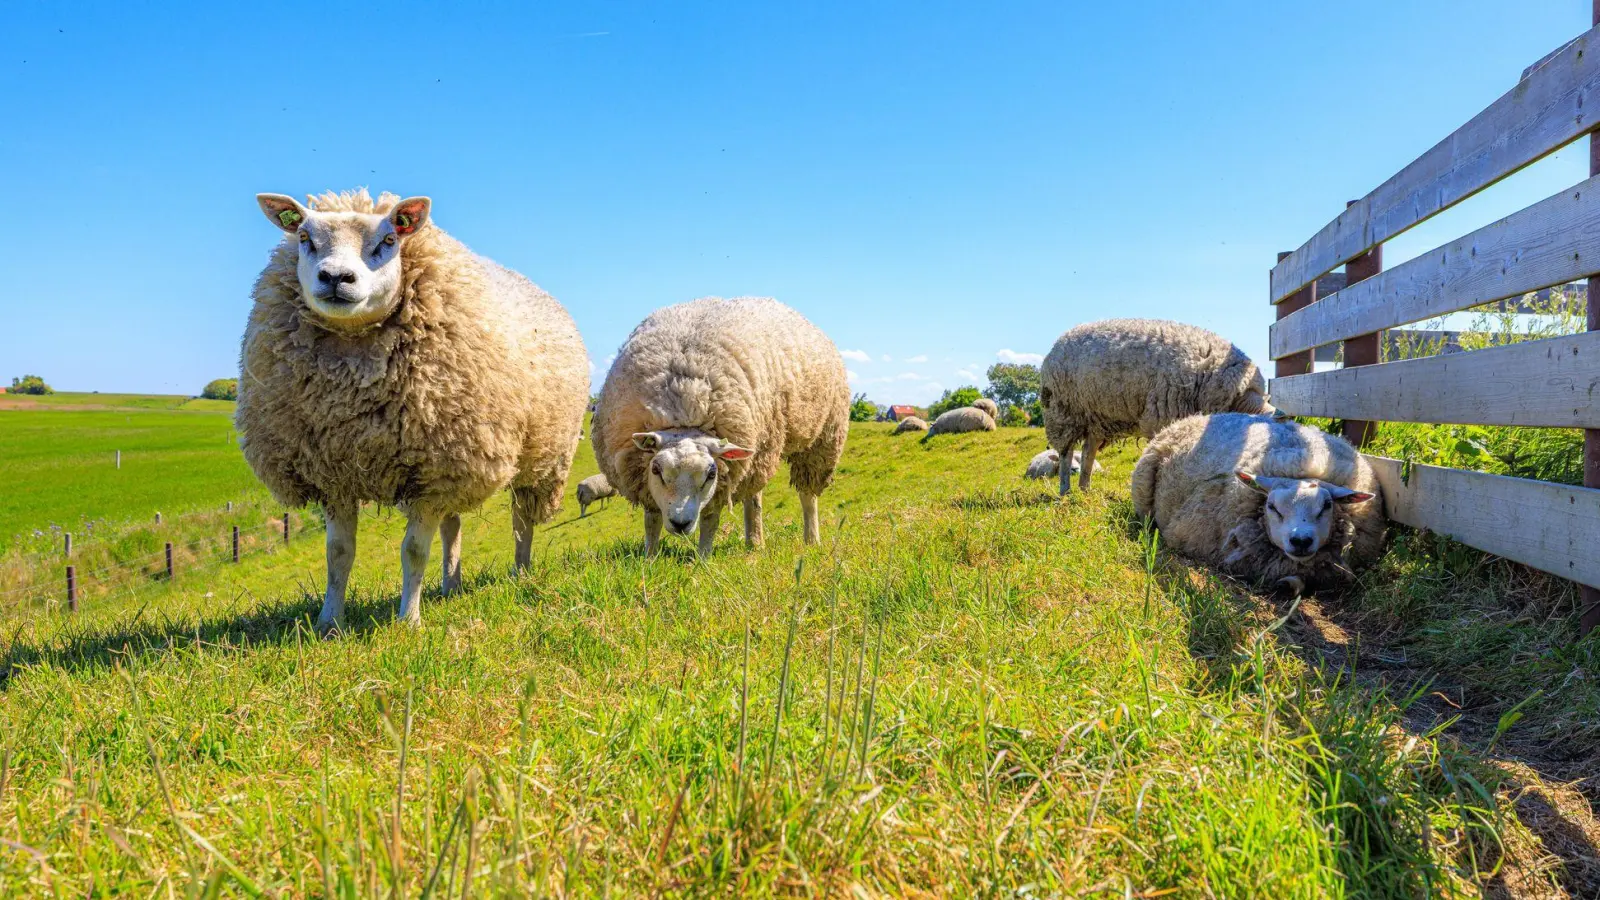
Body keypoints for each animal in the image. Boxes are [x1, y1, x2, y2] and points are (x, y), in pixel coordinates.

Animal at [239, 189, 588, 630]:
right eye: (304, 237)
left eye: (389, 240)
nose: (335, 278)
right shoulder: (335, 474)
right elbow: (338, 555)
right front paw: (329, 622)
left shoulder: (434, 473)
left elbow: (413, 552)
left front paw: (409, 622)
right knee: (453, 525)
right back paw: (451, 583)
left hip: (536, 457)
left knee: (521, 520)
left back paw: (521, 571)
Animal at [591, 297, 850, 558]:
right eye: (656, 470)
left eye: (711, 474)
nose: (680, 523)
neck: (685, 401)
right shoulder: (641, 477)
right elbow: (651, 520)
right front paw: (650, 558)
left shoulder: (722, 478)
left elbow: (710, 519)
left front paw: (703, 558)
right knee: (754, 496)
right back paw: (755, 541)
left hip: (820, 440)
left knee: (807, 495)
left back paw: (809, 540)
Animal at [1040, 318, 1271, 495]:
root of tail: (1060, 340)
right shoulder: (1166, 415)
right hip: (1063, 413)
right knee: (1066, 453)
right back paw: (1065, 491)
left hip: (1096, 417)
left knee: (1089, 451)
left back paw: (1085, 489)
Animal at [1131, 413, 1384, 596]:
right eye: (1272, 506)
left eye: (1327, 505)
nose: (1301, 540)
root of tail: (1193, 417)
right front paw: (1287, 584)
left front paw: (1290, 584)